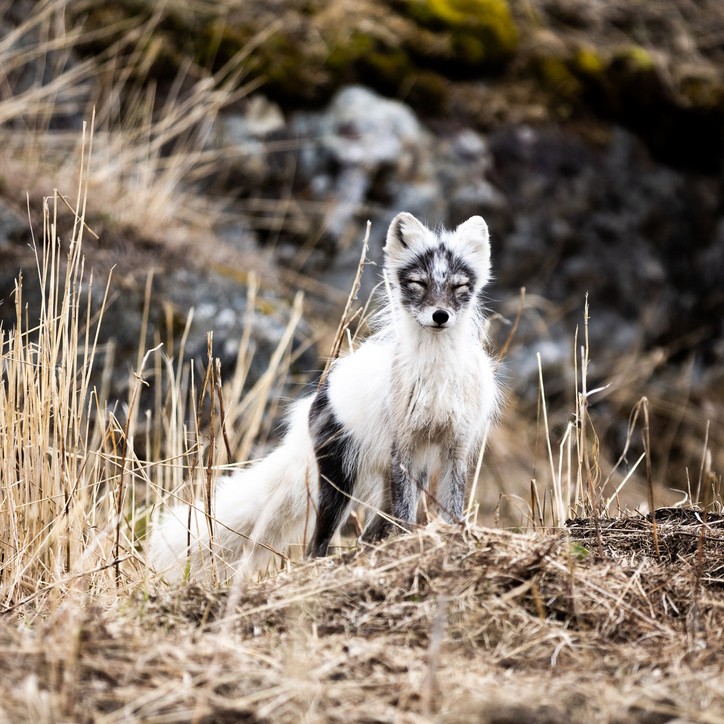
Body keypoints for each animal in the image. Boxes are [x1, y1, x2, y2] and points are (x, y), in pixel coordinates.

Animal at [147, 211, 498, 584]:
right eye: (418, 283)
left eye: (459, 287)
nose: (440, 316)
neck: (435, 374)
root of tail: (316, 401)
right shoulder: (402, 449)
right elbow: (404, 516)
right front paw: (408, 548)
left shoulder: (456, 448)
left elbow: (452, 507)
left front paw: (453, 541)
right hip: (340, 482)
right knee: (317, 545)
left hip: (397, 475)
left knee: (369, 533)